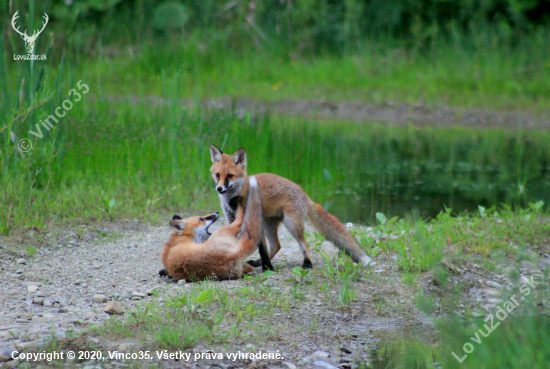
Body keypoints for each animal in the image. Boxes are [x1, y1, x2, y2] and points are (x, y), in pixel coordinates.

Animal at [210, 144, 376, 268]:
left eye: (230, 176)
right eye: (217, 175)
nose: (219, 188)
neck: (236, 194)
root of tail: (304, 193)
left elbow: (257, 246)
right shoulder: (231, 219)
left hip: (291, 224)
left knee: (303, 243)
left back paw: (307, 264)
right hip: (269, 224)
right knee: (276, 246)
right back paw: (259, 262)